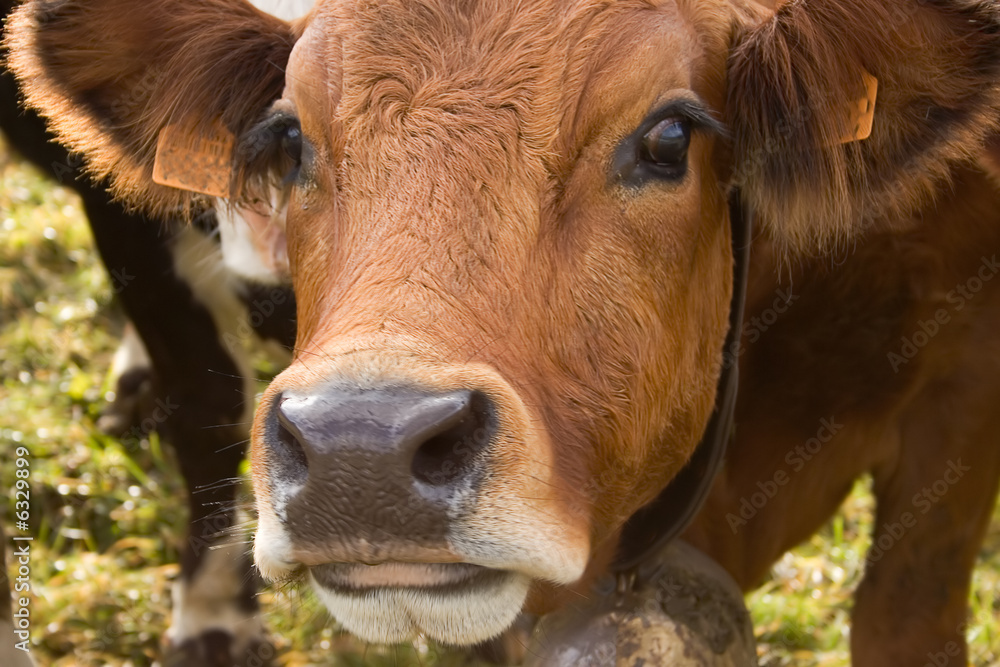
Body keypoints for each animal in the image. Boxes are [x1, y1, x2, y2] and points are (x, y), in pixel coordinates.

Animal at [7, 0, 1000, 664]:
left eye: (670, 138)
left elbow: (904, 615)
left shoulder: (962, 387)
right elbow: (204, 399)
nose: (359, 452)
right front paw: (213, 615)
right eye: (285, 141)